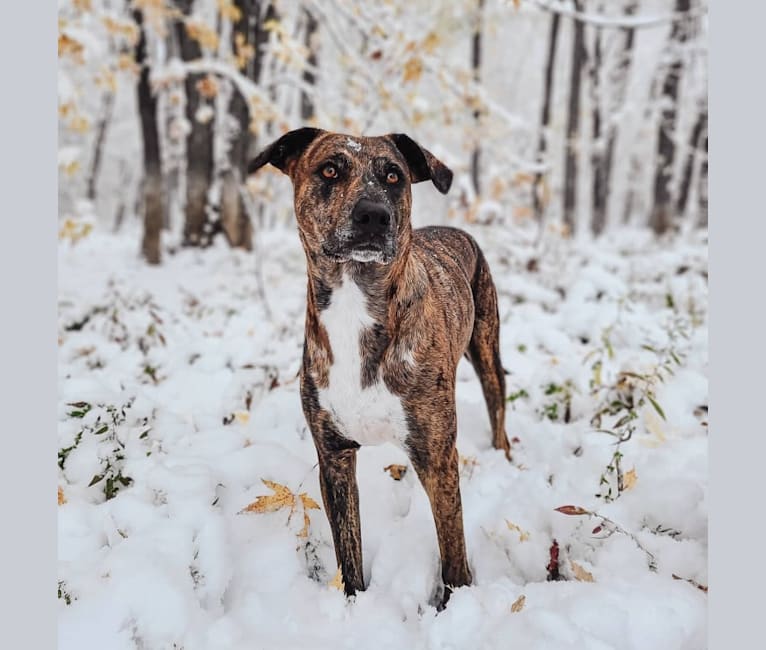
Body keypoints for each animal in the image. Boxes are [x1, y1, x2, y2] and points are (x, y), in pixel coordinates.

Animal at [252, 129, 512, 604]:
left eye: (394, 175)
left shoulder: (437, 457)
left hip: (487, 350)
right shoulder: (333, 456)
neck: (356, 301)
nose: (374, 215)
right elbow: (347, 548)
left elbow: (453, 551)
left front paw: (455, 603)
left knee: (498, 408)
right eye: (329, 170)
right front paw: (353, 602)